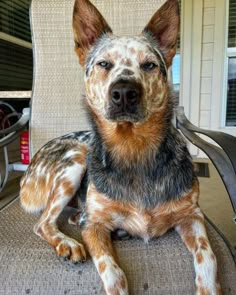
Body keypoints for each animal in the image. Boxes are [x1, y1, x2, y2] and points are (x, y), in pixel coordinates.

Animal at [19, 0, 221, 294]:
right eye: (104, 63)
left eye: (149, 65)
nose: (124, 91)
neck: (133, 148)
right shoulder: (94, 227)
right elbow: (113, 273)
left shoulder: (192, 216)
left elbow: (208, 257)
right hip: (76, 158)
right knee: (42, 223)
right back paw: (67, 241)